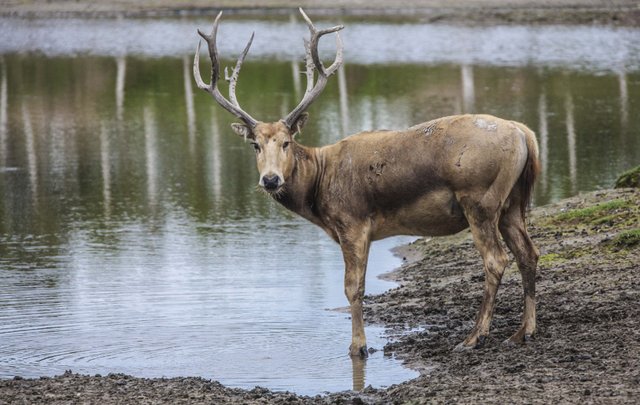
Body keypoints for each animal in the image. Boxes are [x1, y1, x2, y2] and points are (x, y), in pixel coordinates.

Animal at [194, 8, 540, 356]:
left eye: (286, 142)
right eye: (256, 145)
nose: (270, 179)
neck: (319, 187)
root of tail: (524, 133)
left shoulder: (352, 221)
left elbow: (353, 287)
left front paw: (358, 346)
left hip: (480, 199)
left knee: (496, 259)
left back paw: (474, 337)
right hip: (512, 202)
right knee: (529, 253)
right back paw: (522, 331)